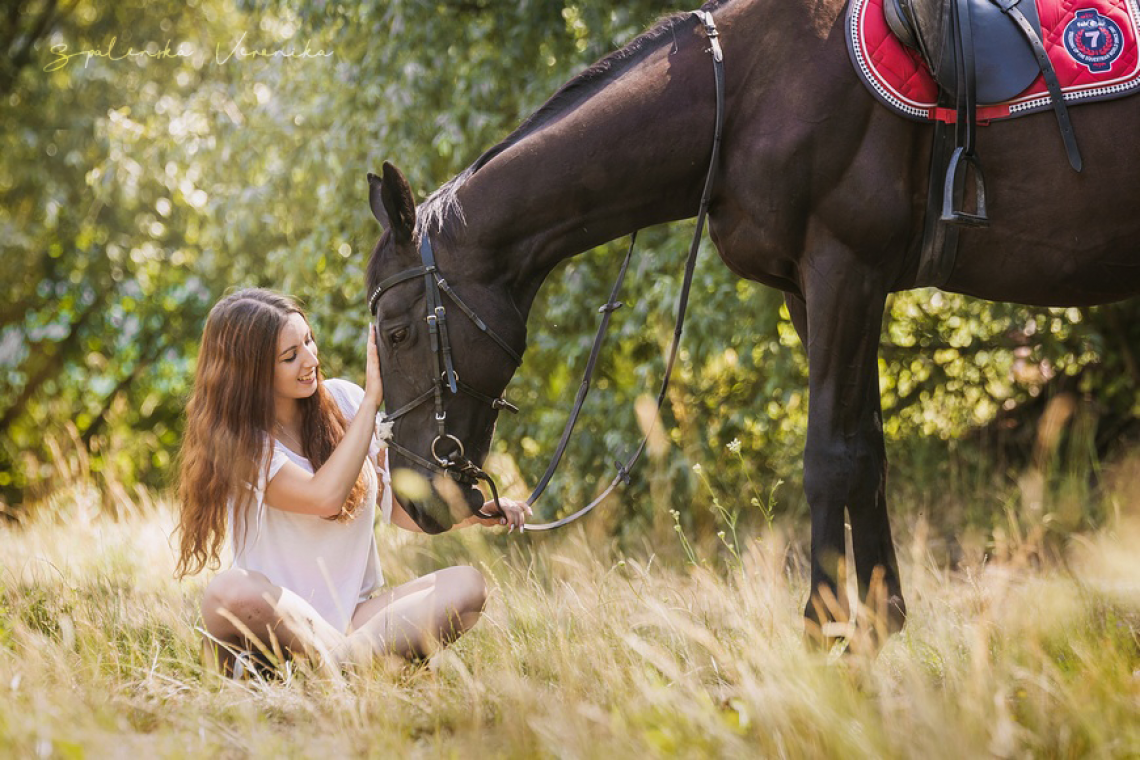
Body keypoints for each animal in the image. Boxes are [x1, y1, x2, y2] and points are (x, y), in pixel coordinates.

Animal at [364, 0, 1140, 642]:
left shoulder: (845, 270)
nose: (415, 497)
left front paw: (826, 627)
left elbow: (829, 459)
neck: (741, 95)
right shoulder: (819, 291)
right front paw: (879, 621)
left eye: (397, 332)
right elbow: (867, 453)